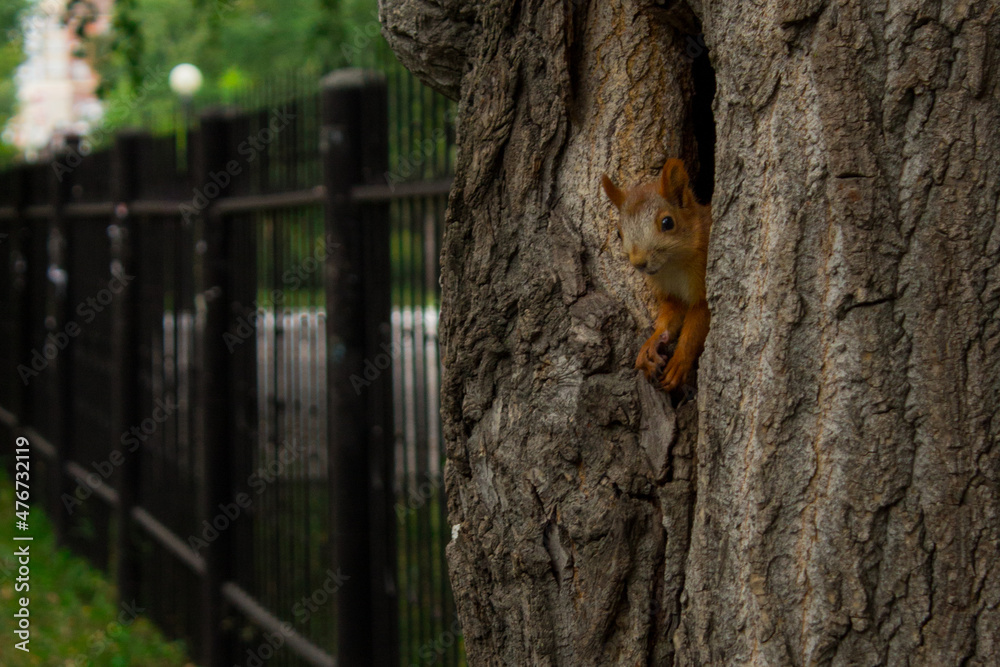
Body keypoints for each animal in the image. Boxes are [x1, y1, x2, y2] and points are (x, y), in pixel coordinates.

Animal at [601, 158, 711, 393]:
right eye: (619, 233)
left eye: (667, 223)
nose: (639, 263)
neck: (673, 266)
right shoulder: (670, 294)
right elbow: (668, 317)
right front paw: (650, 344)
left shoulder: (703, 288)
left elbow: (695, 327)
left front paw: (679, 361)